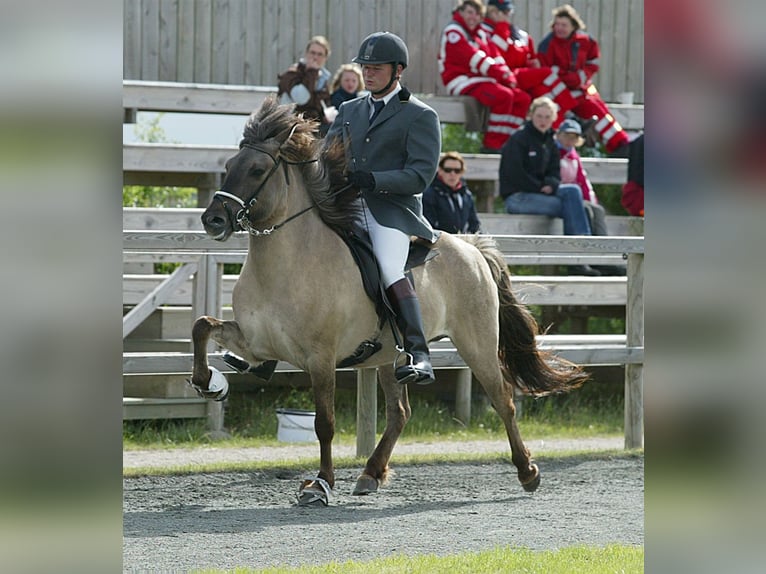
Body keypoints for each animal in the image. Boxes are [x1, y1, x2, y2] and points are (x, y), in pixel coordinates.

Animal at [188, 97, 588, 506]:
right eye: (227, 168)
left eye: (256, 170)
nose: (213, 220)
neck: (286, 263)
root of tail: (471, 247)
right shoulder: (256, 345)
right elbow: (202, 326)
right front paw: (211, 384)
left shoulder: (321, 358)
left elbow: (325, 423)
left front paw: (320, 484)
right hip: (389, 357)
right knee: (400, 412)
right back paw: (371, 473)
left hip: (477, 345)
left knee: (502, 400)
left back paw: (528, 472)